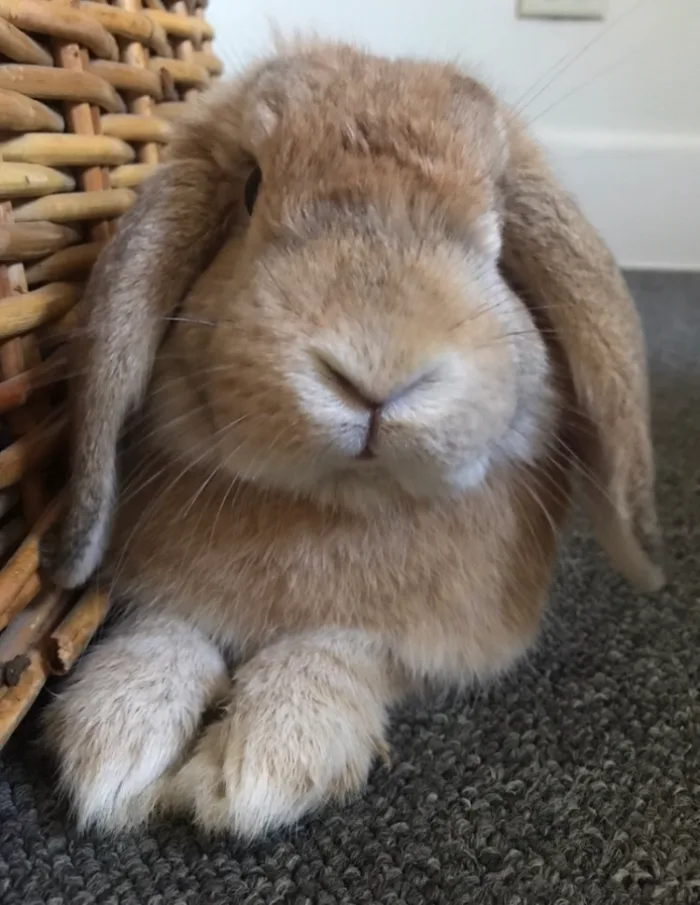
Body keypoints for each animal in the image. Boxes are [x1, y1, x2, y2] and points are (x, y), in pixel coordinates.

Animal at [42, 40, 663, 839]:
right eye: (250, 189)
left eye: (497, 229)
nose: (376, 372)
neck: (341, 504)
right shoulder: (158, 592)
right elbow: (165, 625)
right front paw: (116, 734)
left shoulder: (421, 641)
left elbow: (340, 646)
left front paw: (264, 760)